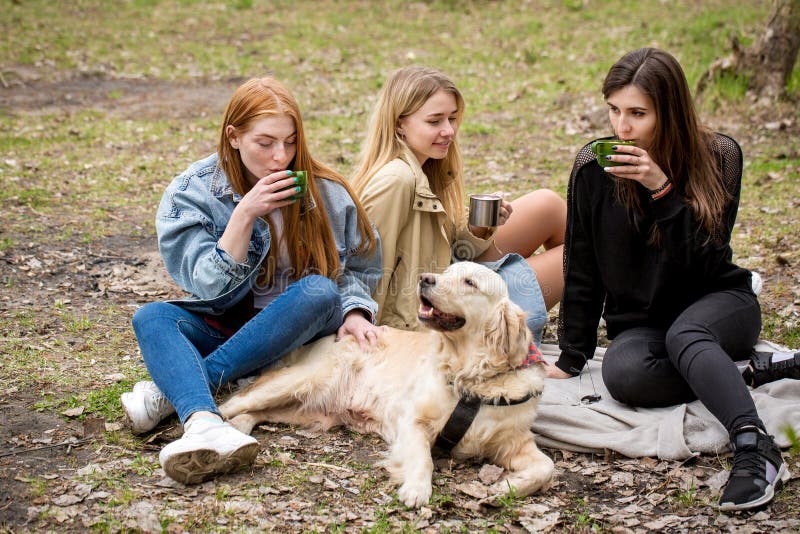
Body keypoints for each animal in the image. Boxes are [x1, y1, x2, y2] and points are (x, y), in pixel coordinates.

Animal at [220, 262, 556, 508]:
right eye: (447, 271)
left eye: (469, 282)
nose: (424, 278)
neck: (472, 377)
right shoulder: (412, 420)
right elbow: (422, 458)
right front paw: (417, 488)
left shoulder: (513, 440)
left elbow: (547, 466)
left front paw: (506, 487)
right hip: (304, 379)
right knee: (232, 403)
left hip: (306, 408)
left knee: (256, 412)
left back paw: (239, 431)